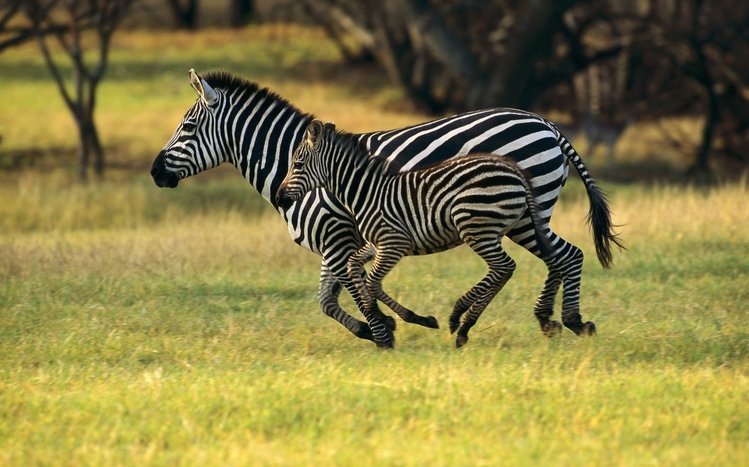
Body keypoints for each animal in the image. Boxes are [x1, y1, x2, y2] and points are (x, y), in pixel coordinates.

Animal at [276, 120, 555, 347]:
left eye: (297, 164)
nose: (279, 197)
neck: (366, 193)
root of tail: (514, 170)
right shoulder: (376, 245)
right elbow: (355, 267)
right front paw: (380, 317)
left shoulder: (393, 242)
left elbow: (372, 282)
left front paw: (391, 320)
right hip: (492, 229)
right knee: (506, 269)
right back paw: (464, 325)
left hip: (476, 227)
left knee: (504, 267)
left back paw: (460, 319)